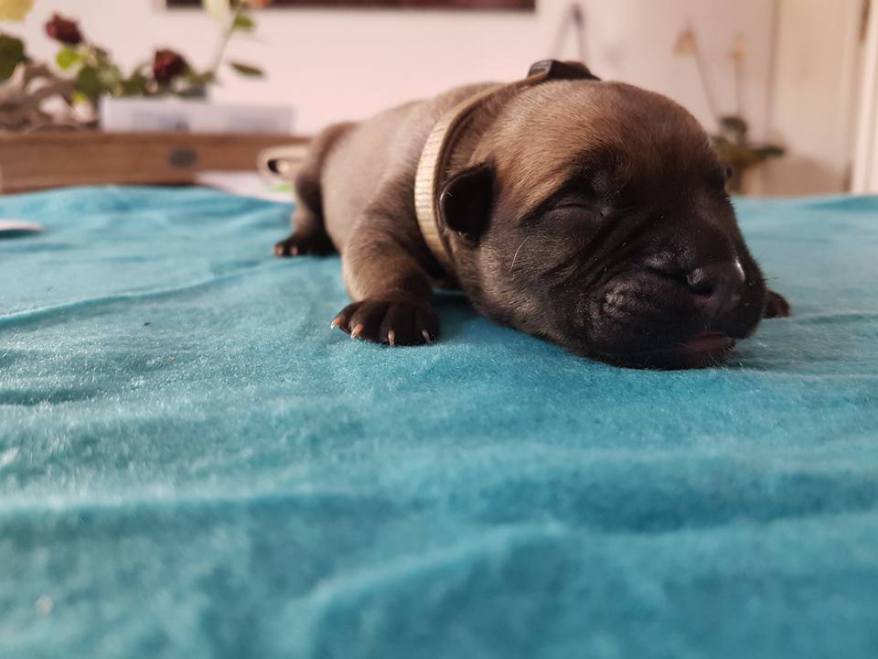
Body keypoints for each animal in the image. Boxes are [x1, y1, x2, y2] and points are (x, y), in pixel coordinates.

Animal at [274, 60, 790, 369]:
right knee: (305, 207)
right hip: (313, 162)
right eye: (575, 204)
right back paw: (301, 241)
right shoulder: (384, 220)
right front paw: (393, 304)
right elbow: (385, 259)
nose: (725, 276)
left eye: (723, 189)